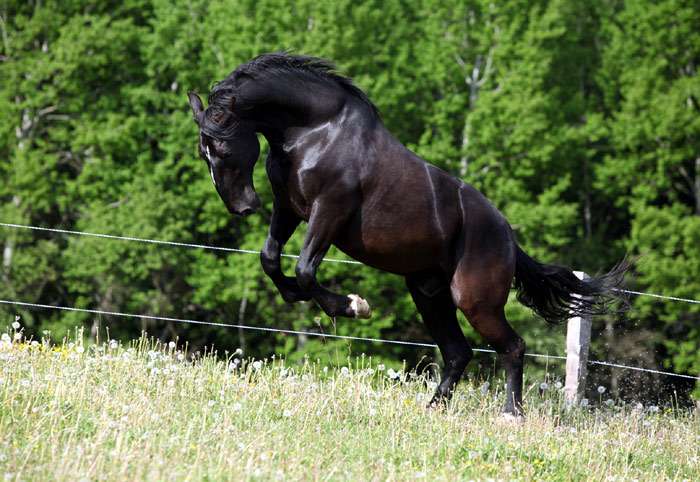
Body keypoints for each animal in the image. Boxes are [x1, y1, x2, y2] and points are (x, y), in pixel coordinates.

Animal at [186, 51, 624, 414]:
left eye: (223, 148)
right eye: (204, 153)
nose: (242, 206)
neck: (314, 131)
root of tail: (509, 239)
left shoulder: (328, 210)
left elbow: (305, 270)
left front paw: (353, 306)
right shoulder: (287, 208)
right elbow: (271, 259)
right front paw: (299, 297)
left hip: (475, 300)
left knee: (512, 346)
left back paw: (511, 414)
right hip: (429, 294)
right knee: (458, 353)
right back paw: (434, 409)